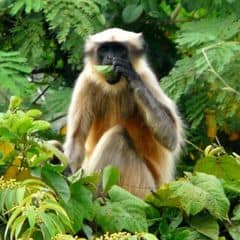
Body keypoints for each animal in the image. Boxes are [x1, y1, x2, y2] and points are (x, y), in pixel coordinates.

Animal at [63, 27, 184, 197]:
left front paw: (132, 78)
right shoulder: (85, 81)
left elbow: (172, 137)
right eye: (105, 49)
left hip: (143, 187)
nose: (110, 57)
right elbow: (77, 138)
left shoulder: (147, 78)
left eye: (119, 50)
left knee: (116, 137)